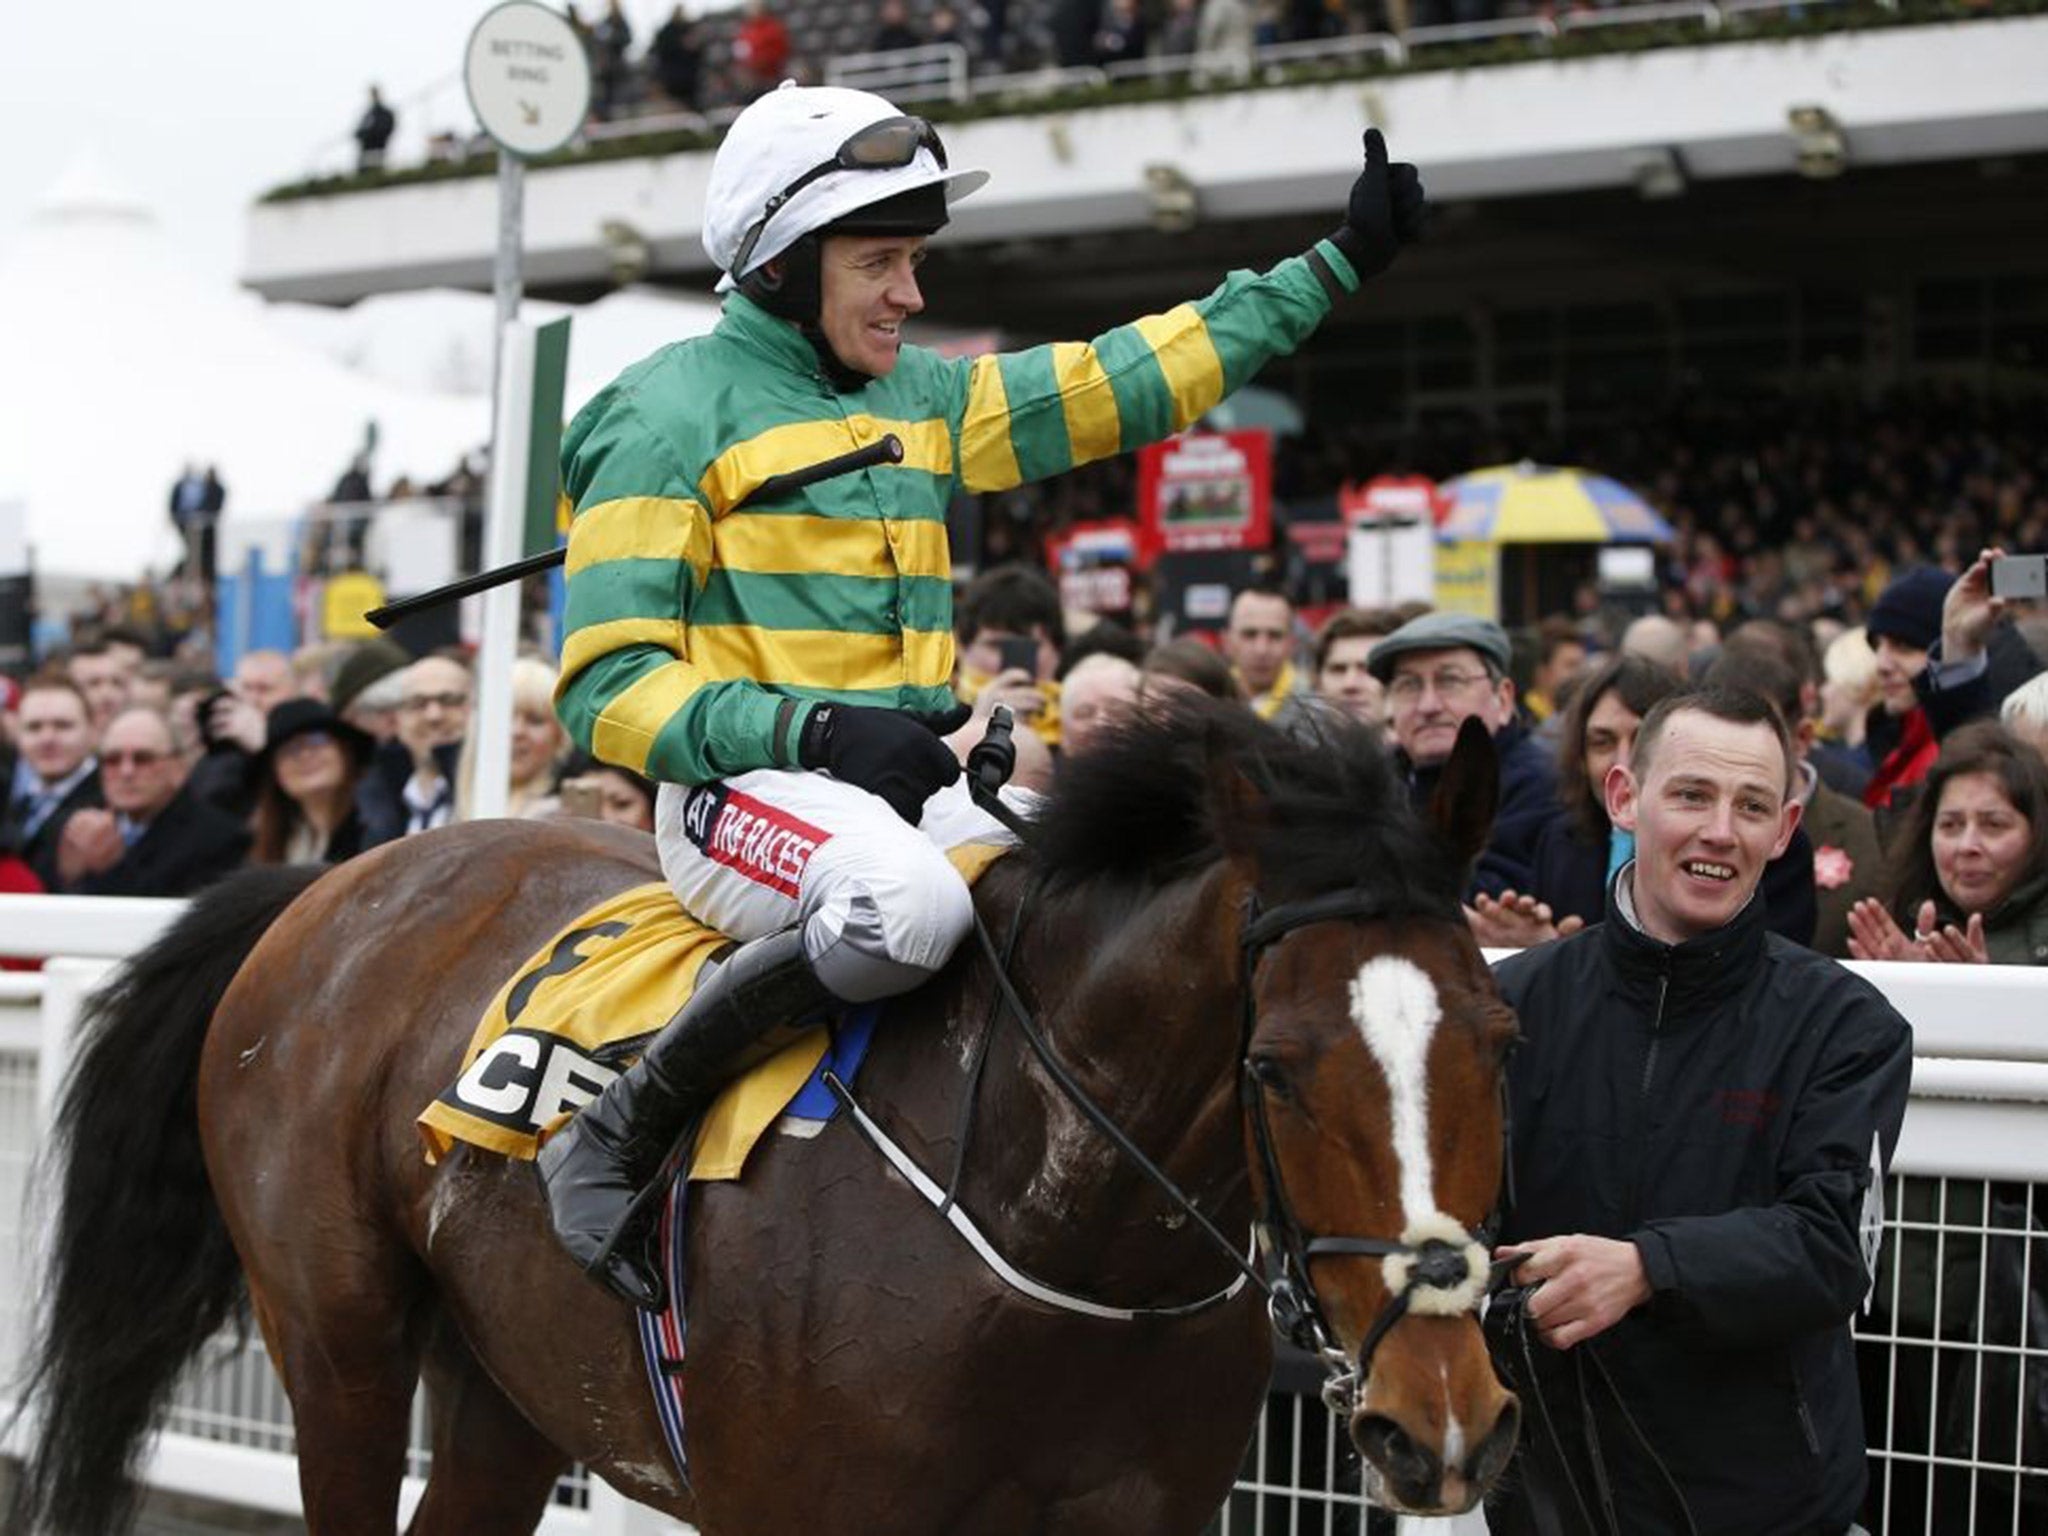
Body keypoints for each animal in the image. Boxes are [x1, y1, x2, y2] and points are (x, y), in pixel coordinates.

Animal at [4, 704, 1523, 1531]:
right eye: (1273, 1066)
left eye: (1500, 1040)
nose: (1439, 1422)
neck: (1051, 1242)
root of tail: (337, 881)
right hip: (339, 1344)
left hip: (511, 1374)